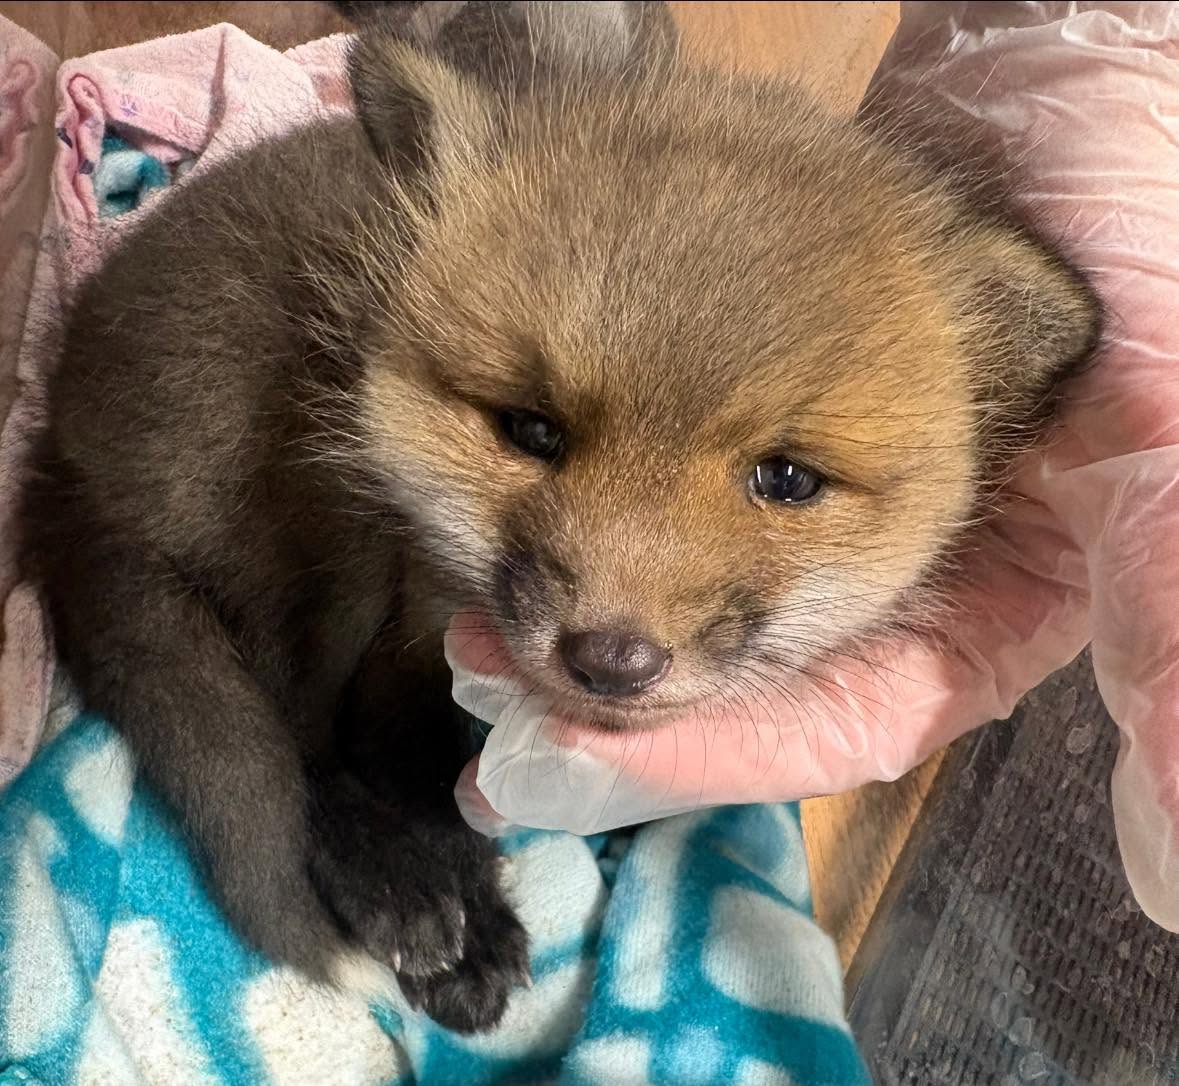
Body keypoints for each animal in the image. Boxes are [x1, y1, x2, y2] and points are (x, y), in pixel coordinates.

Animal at [20, 0, 1099, 1033]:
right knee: (294, 738)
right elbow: (410, 786)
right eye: (531, 429)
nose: (611, 659)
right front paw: (462, 922)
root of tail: (57, 439)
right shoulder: (403, 645)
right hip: (321, 508)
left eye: (787, 479)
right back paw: (403, 898)